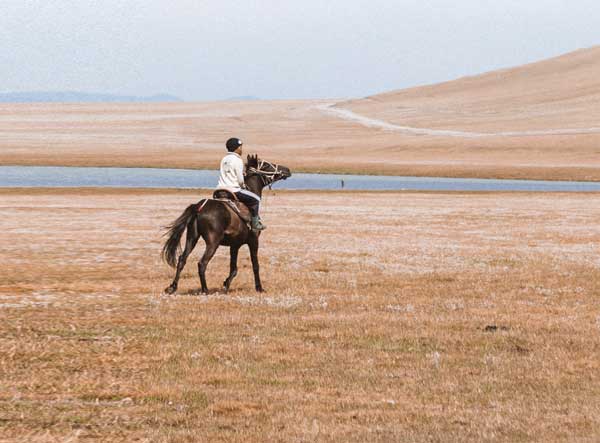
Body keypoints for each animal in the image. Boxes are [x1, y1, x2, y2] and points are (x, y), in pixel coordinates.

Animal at [159, 155, 290, 294]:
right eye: (265, 165)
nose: (287, 170)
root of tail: (199, 207)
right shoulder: (253, 241)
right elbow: (255, 265)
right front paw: (259, 287)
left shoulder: (235, 245)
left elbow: (233, 268)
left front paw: (226, 284)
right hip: (213, 242)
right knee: (202, 263)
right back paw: (205, 290)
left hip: (192, 238)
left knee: (182, 260)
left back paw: (172, 287)